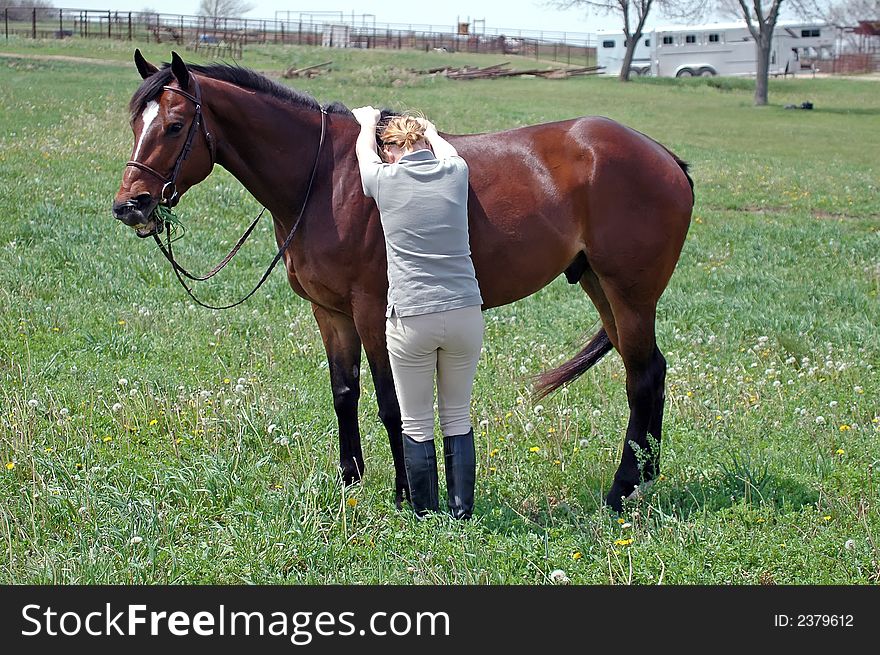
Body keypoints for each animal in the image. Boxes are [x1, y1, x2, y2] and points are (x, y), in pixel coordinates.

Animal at [111, 50, 696, 512]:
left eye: (175, 126)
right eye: (136, 124)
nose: (129, 206)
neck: (326, 178)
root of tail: (665, 156)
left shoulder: (373, 309)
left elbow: (391, 402)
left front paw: (403, 494)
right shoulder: (331, 312)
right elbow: (344, 392)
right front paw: (350, 483)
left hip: (629, 295)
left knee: (643, 378)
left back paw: (621, 490)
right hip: (602, 288)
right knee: (653, 372)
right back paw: (645, 476)